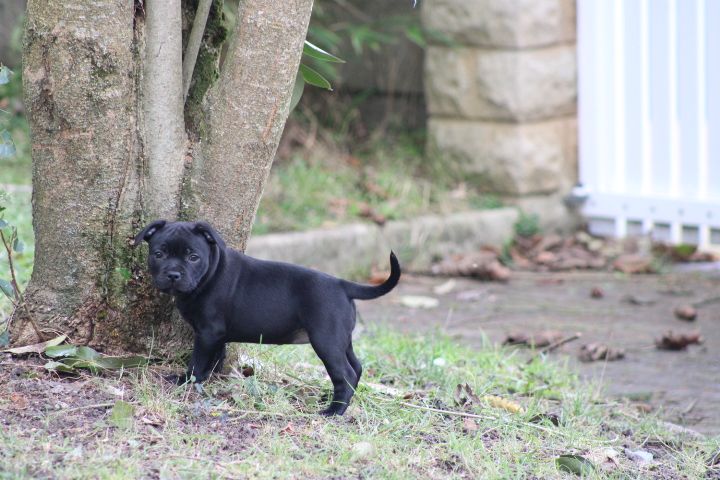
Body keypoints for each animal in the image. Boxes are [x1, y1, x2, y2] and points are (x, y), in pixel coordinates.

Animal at [135, 219, 400, 414]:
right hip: (341, 339)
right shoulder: (217, 335)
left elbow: (198, 360)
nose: (173, 275)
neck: (210, 274)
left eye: (193, 257)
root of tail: (343, 284)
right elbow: (215, 358)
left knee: (345, 373)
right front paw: (208, 379)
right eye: (158, 254)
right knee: (356, 367)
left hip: (326, 340)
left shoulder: (208, 332)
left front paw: (186, 380)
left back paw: (334, 411)